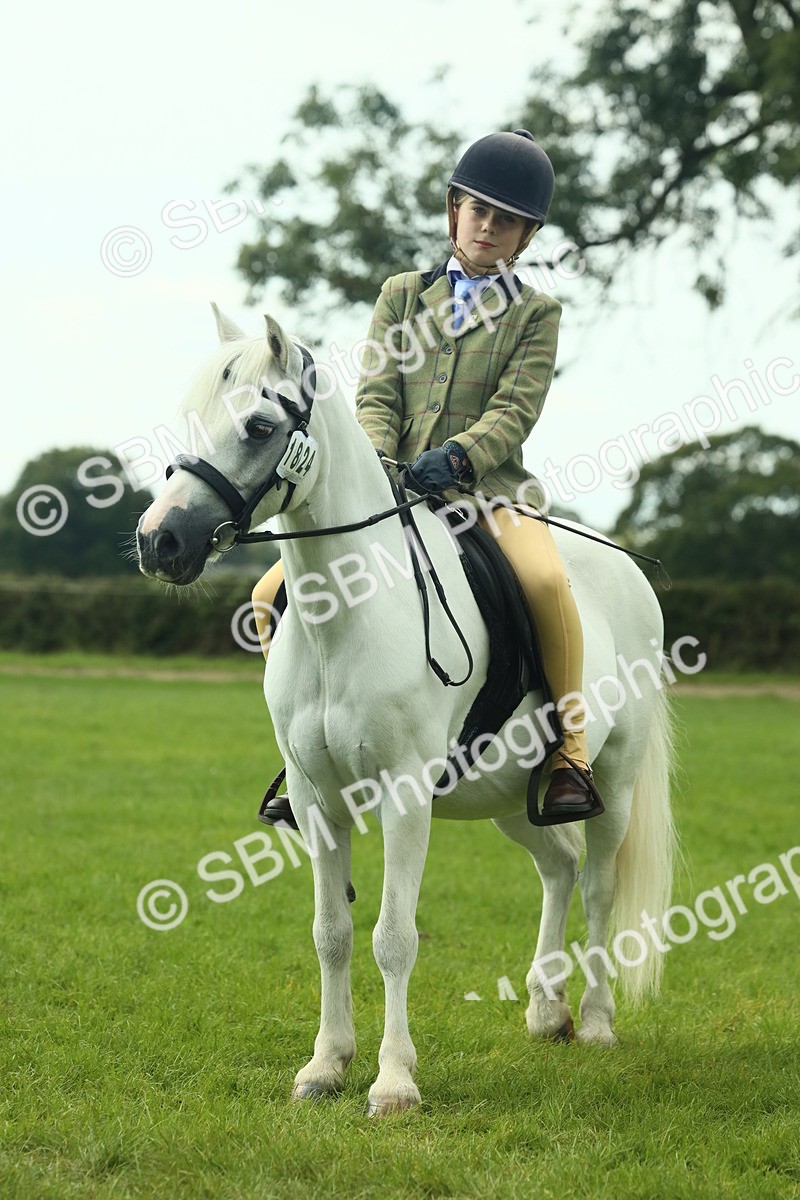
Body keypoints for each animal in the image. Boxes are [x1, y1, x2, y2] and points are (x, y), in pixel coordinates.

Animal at [136, 304, 676, 1117]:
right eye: (192, 417)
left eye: (259, 426)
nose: (159, 540)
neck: (346, 615)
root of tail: (628, 573)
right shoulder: (316, 800)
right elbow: (331, 932)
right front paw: (326, 1066)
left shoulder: (404, 796)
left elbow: (394, 936)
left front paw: (393, 1083)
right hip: (507, 795)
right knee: (559, 866)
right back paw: (545, 1010)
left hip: (610, 774)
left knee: (599, 885)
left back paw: (596, 1022)